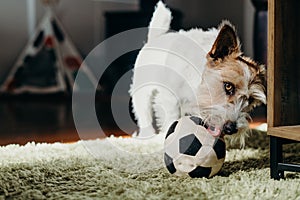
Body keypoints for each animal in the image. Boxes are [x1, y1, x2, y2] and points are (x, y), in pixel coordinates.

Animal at [130, 0, 266, 146]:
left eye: (250, 100)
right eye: (228, 86)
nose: (231, 129)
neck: (199, 84)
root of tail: (158, 36)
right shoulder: (170, 99)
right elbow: (171, 119)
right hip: (142, 90)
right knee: (143, 113)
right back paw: (146, 136)